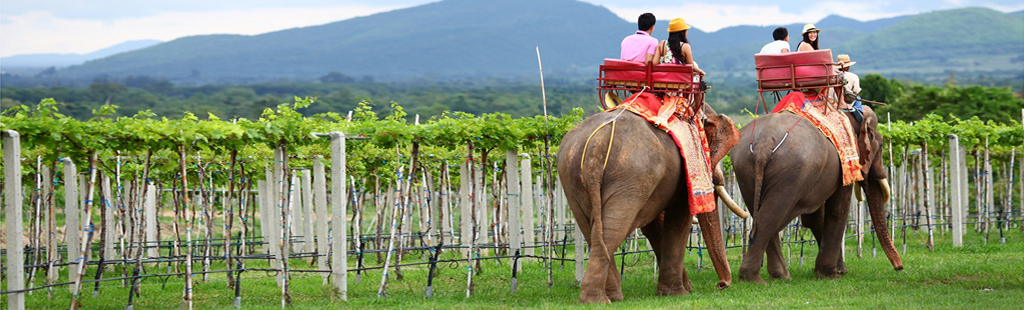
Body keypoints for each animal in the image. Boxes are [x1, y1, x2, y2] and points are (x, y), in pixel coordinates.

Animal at [557, 103, 741, 304]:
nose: (722, 285)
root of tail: (595, 146)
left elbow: (652, 227)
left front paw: (684, 288)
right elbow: (678, 220)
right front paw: (678, 293)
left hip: (573, 176)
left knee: (595, 231)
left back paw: (611, 298)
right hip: (630, 176)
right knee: (612, 231)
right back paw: (598, 301)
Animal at [729, 105, 905, 286]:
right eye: (881, 144)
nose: (899, 268)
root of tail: (764, 143)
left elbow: (813, 218)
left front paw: (838, 270)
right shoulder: (844, 163)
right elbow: (837, 210)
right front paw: (831, 274)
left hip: (745, 168)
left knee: (758, 214)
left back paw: (779, 276)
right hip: (793, 172)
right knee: (770, 217)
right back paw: (754, 279)